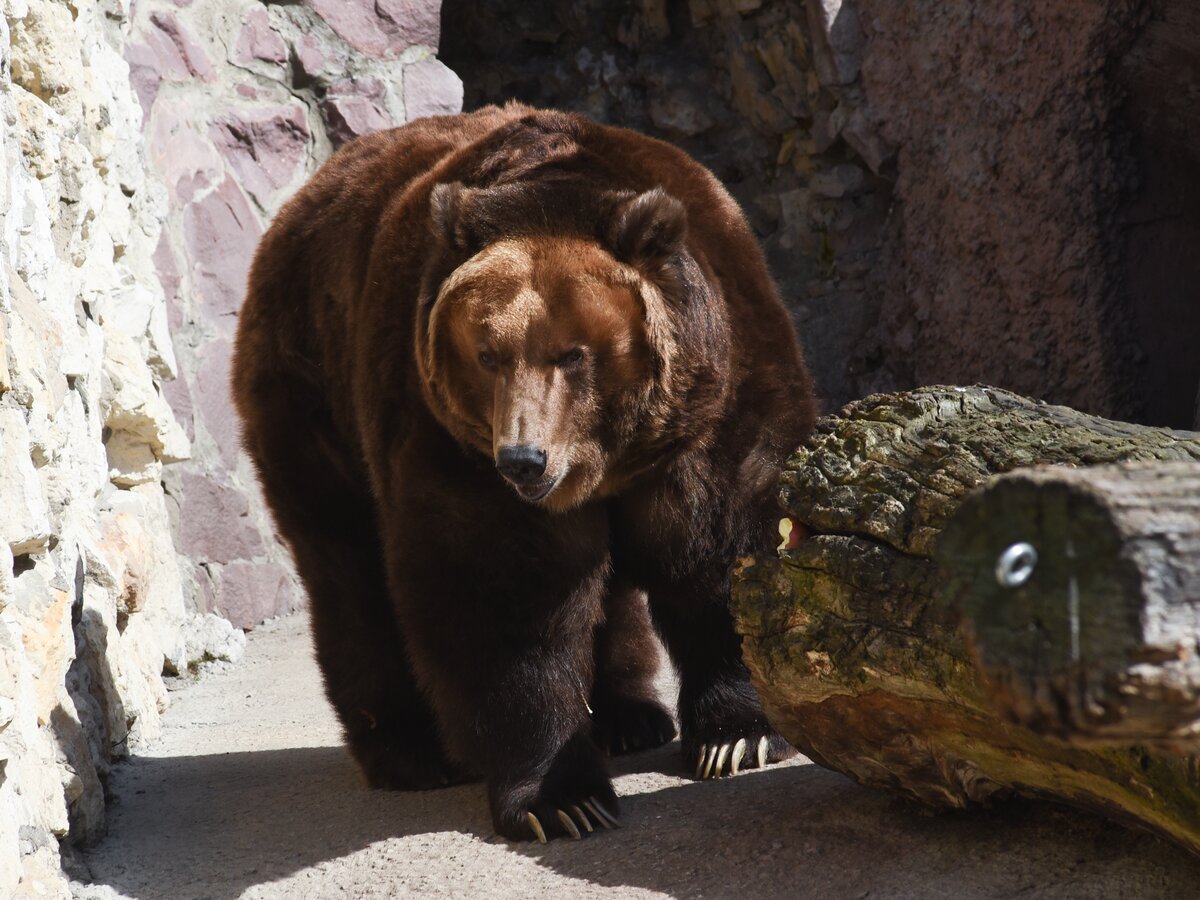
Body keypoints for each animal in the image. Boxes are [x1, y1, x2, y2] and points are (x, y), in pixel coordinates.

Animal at [230, 102, 820, 844]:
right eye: (487, 353)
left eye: (573, 354)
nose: (523, 458)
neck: (610, 458)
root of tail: (296, 205)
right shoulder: (448, 435)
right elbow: (508, 599)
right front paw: (563, 797)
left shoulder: (711, 402)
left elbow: (721, 546)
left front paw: (737, 737)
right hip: (313, 389)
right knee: (346, 567)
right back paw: (412, 753)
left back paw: (632, 716)